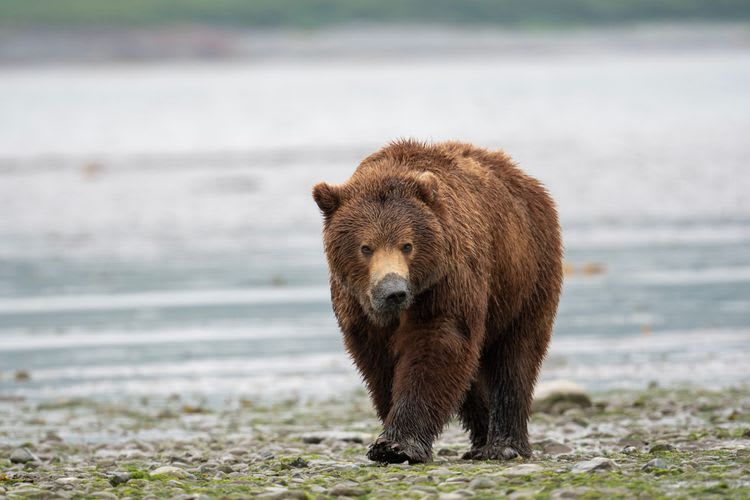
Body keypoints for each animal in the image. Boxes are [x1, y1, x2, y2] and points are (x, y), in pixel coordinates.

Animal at [312, 140, 562, 464]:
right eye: (365, 247)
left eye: (407, 245)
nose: (393, 291)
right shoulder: (359, 308)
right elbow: (379, 364)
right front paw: (389, 435)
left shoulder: (446, 282)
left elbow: (437, 344)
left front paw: (398, 444)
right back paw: (480, 438)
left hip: (525, 276)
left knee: (516, 357)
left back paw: (503, 445)